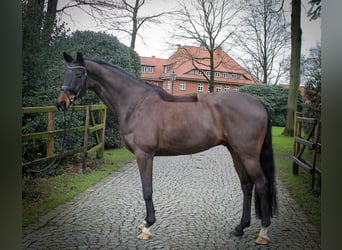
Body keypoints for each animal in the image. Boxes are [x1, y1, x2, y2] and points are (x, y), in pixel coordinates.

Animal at [54, 51, 276, 245]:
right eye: (65, 73)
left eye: (79, 74)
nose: (61, 103)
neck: (136, 104)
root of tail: (259, 103)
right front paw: (145, 222)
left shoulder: (144, 155)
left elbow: (147, 190)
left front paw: (147, 226)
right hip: (235, 151)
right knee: (247, 186)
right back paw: (240, 228)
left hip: (248, 155)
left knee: (262, 184)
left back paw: (263, 233)